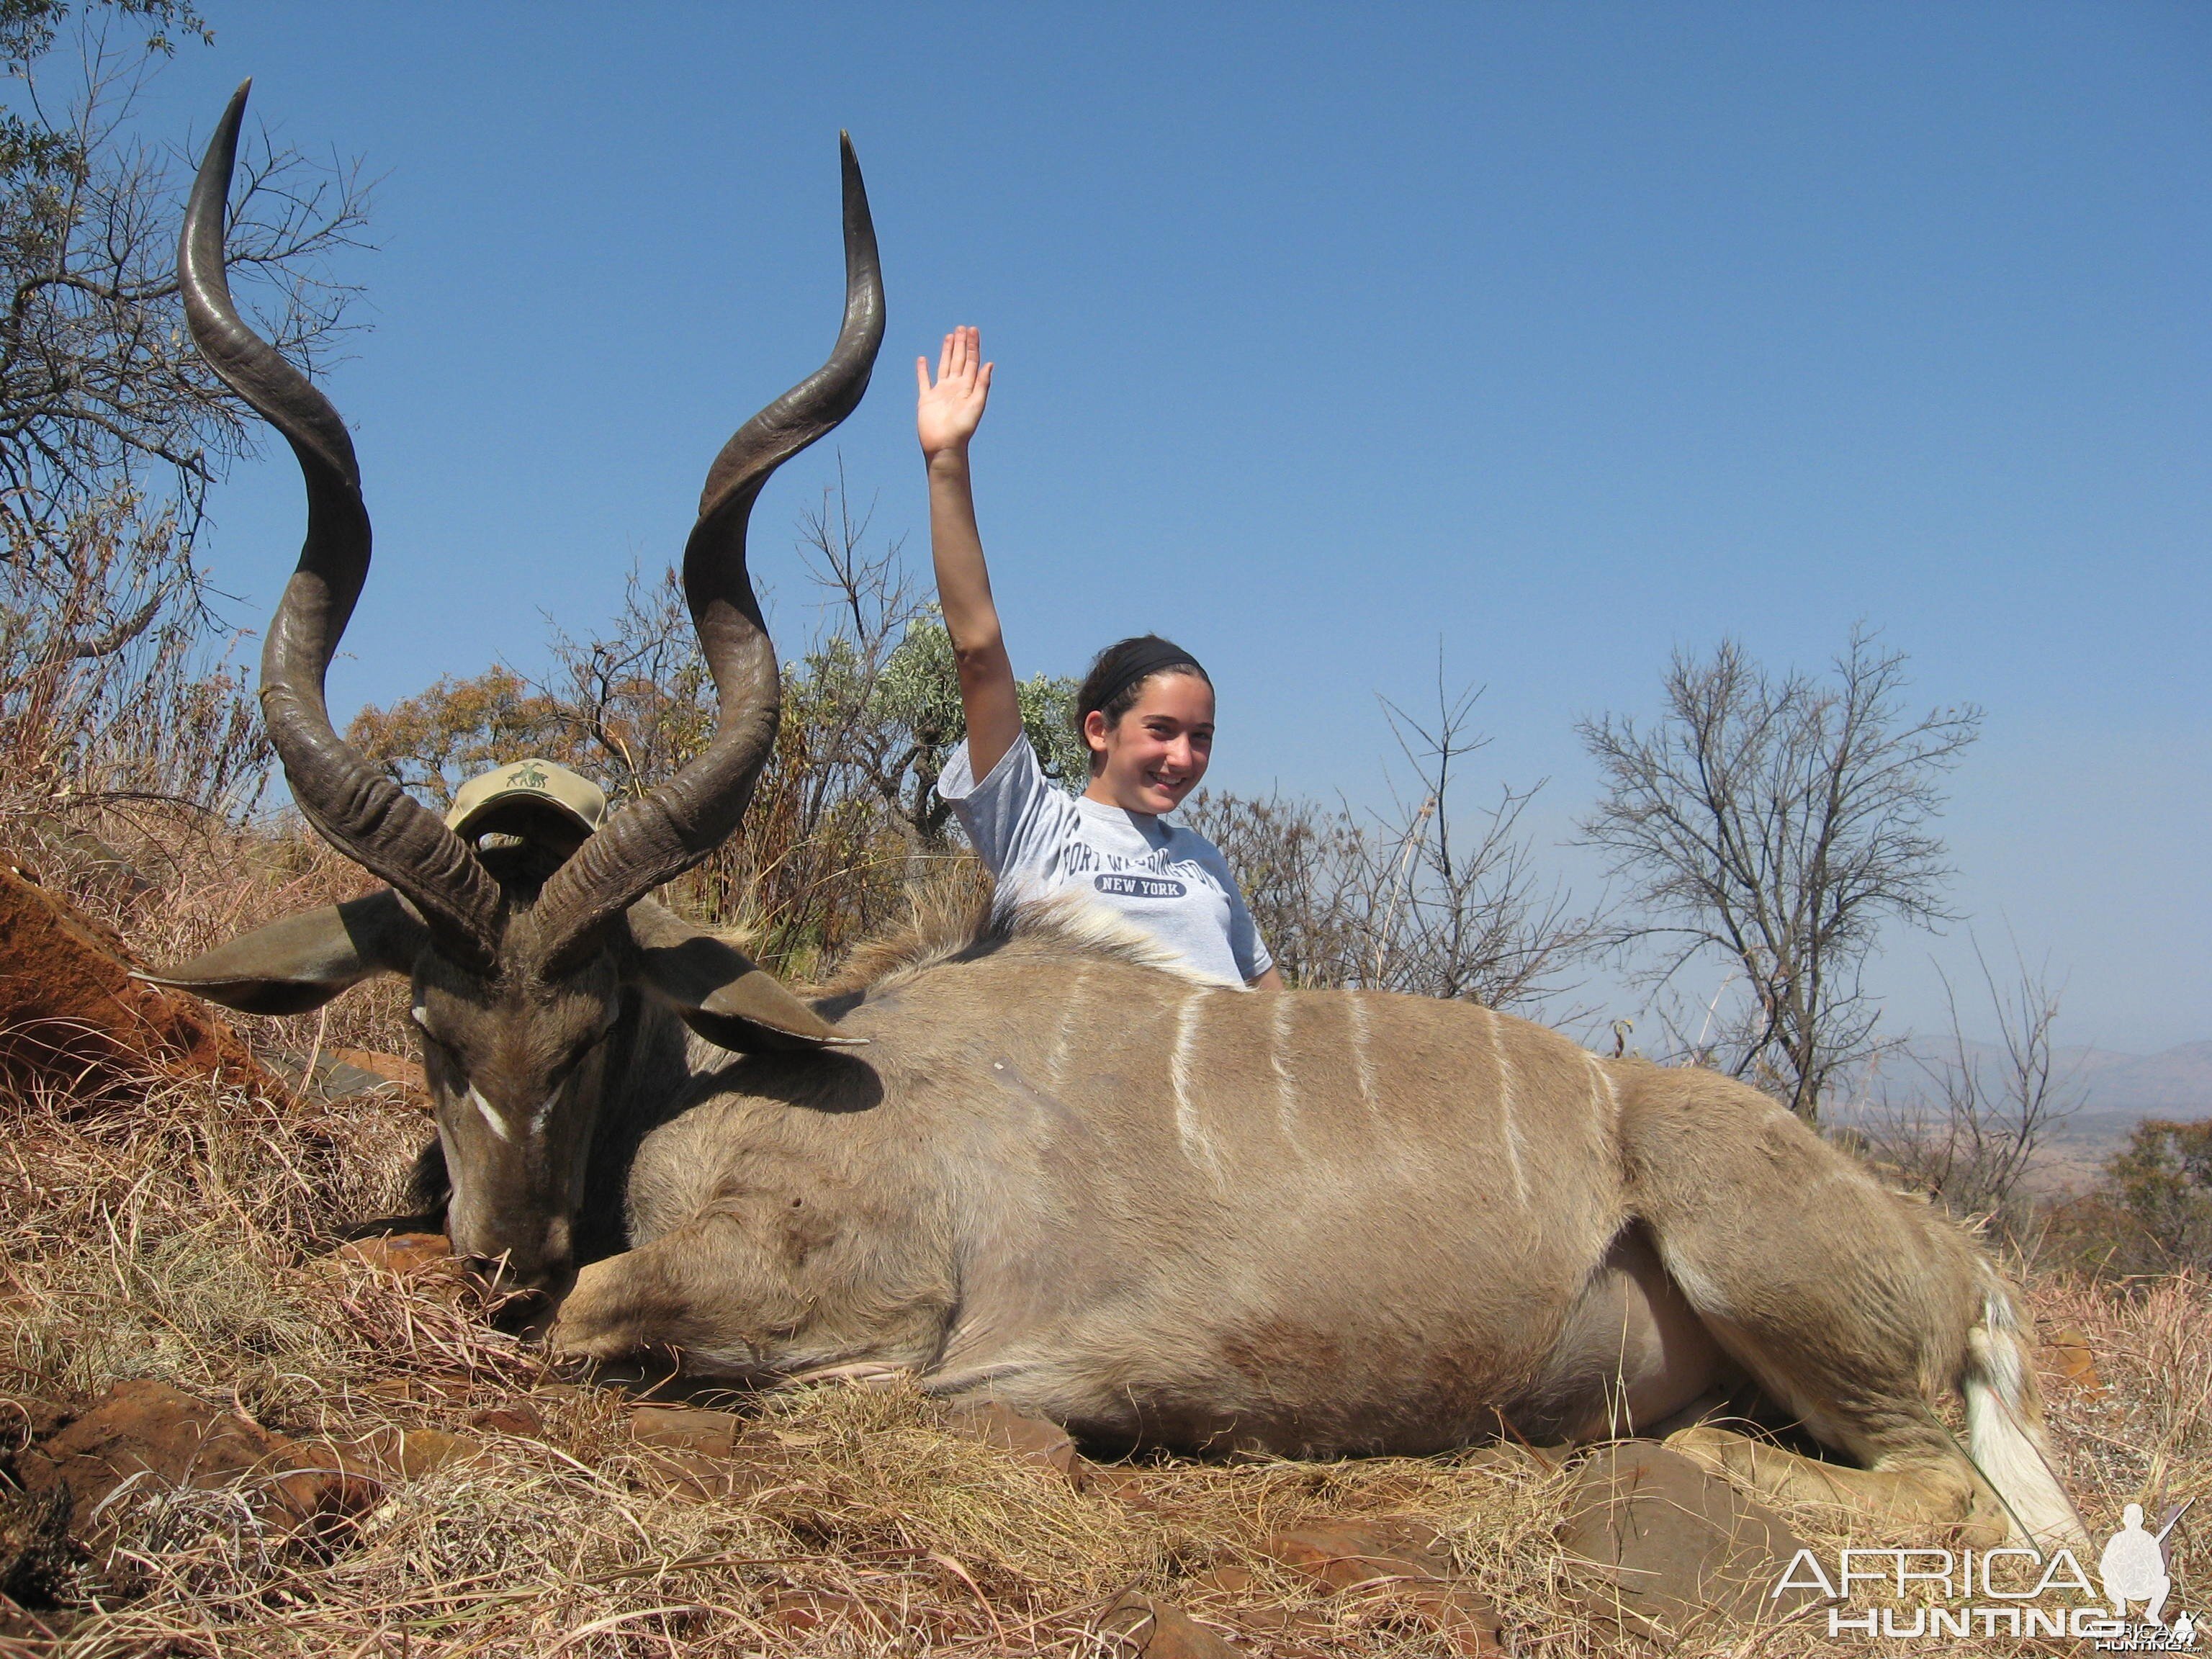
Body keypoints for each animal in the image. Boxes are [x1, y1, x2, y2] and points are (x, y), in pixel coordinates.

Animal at [160, 84, 2087, 1557]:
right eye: (429, 1028)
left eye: (585, 1029)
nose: (500, 1255)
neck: (738, 1068)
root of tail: (1957, 1263)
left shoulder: (847, 1287)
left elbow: (630, 1319)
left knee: (1943, 1495)